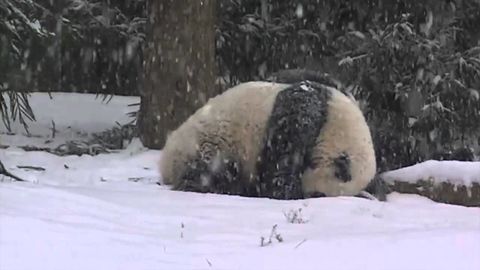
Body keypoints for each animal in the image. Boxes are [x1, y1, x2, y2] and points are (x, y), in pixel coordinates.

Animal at [159, 79, 376, 199]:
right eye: (318, 195)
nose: (305, 194)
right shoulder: (306, 109)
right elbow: (281, 160)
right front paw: (283, 190)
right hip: (210, 140)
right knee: (209, 168)